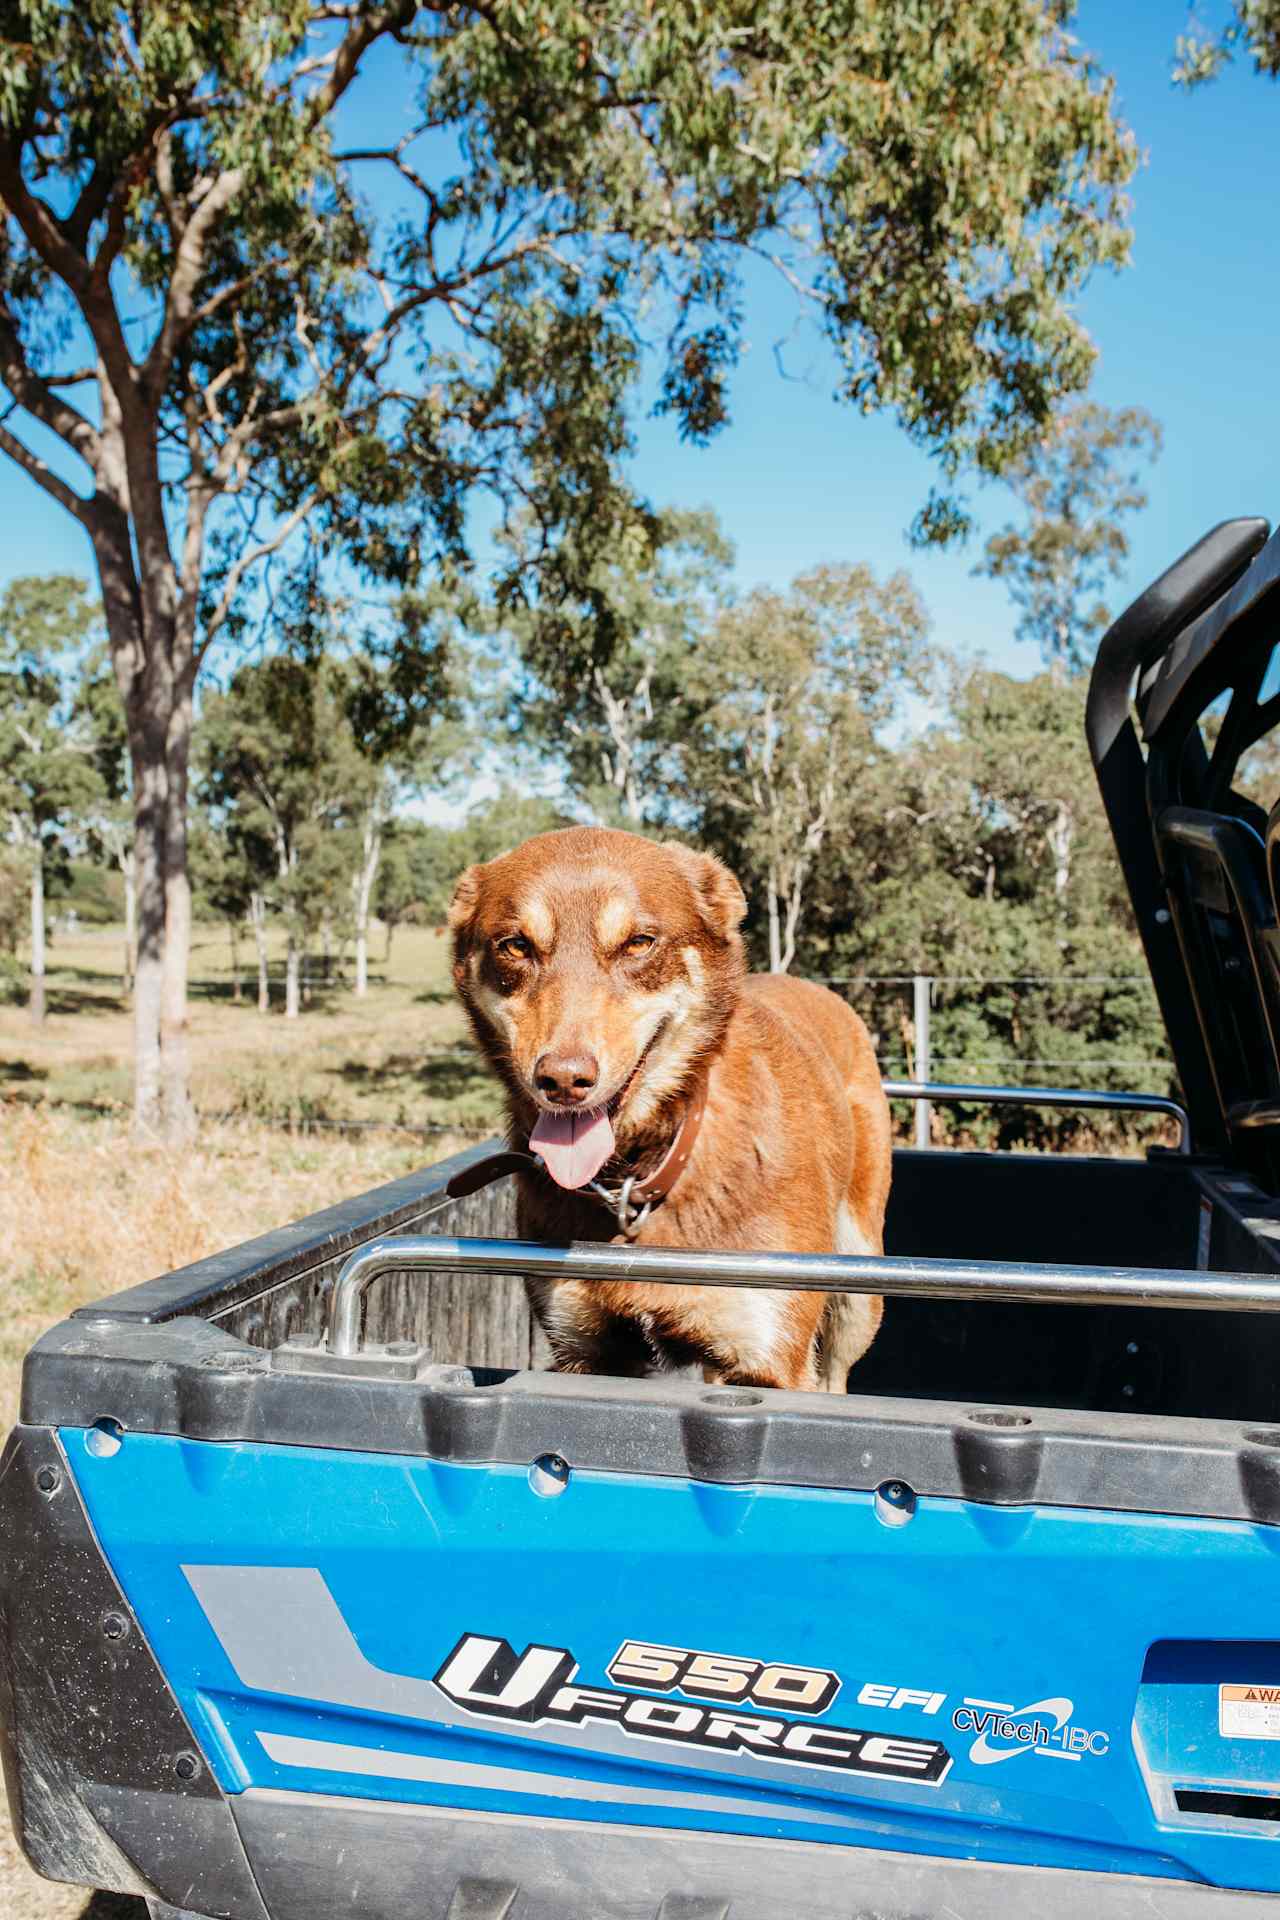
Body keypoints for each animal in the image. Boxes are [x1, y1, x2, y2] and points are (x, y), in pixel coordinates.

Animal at [450, 825, 890, 1397]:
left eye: (639, 942)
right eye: (516, 945)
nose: (563, 1080)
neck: (644, 1176)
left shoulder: (768, 1360)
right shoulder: (584, 1349)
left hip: (857, 1291)